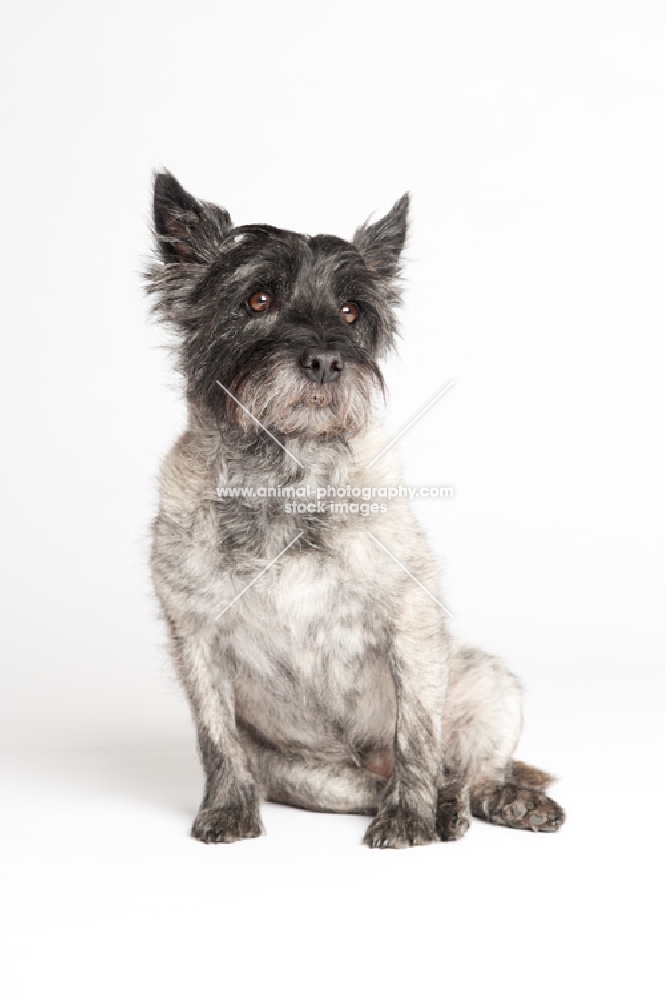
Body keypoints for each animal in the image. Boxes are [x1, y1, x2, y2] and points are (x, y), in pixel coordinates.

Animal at [144, 174, 560, 852]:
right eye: (258, 299)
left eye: (349, 312)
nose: (325, 361)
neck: (285, 478)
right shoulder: (196, 639)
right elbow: (216, 736)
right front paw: (227, 810)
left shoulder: (412, 625)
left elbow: (417, 734)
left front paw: (410, 820)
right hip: (314, 779)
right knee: (377, 785)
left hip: (487, 681)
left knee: (467, 771)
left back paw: (494, 802)